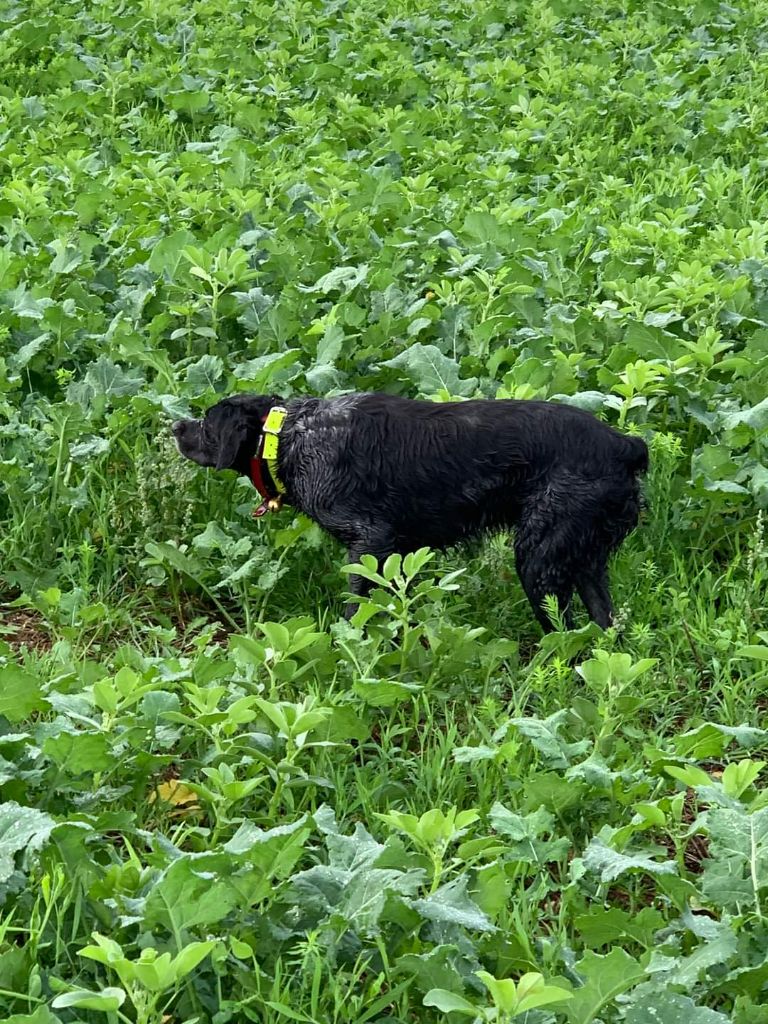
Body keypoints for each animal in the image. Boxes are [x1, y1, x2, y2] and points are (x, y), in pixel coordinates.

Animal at [171, 393, 647, 626]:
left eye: (207, 421)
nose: (175, 425)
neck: (290, 434)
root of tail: (624, 445)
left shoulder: (369, 539)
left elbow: (355, 603)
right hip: (584, 558)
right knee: (603, 624)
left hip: (540, 558)